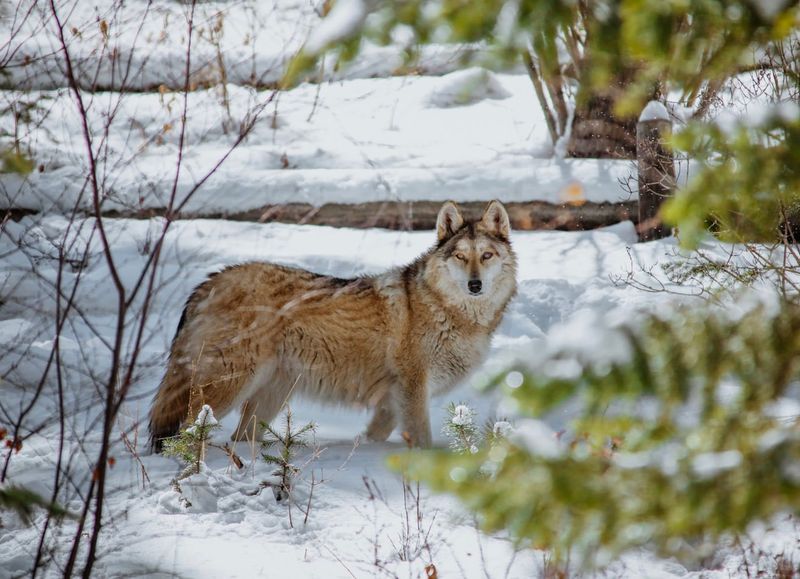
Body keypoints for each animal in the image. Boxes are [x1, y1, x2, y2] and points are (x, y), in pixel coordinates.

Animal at [148, 202, 520, 450]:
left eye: (486, 256)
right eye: (460, 256)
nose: (475, 285)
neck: (449, 311)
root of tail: (208, 282)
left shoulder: (390, 403)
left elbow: (373, 436)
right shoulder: (413, 392)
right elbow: (423, 442)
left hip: (268, 398)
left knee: (239, 437)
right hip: (228, 388)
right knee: (184, 433)